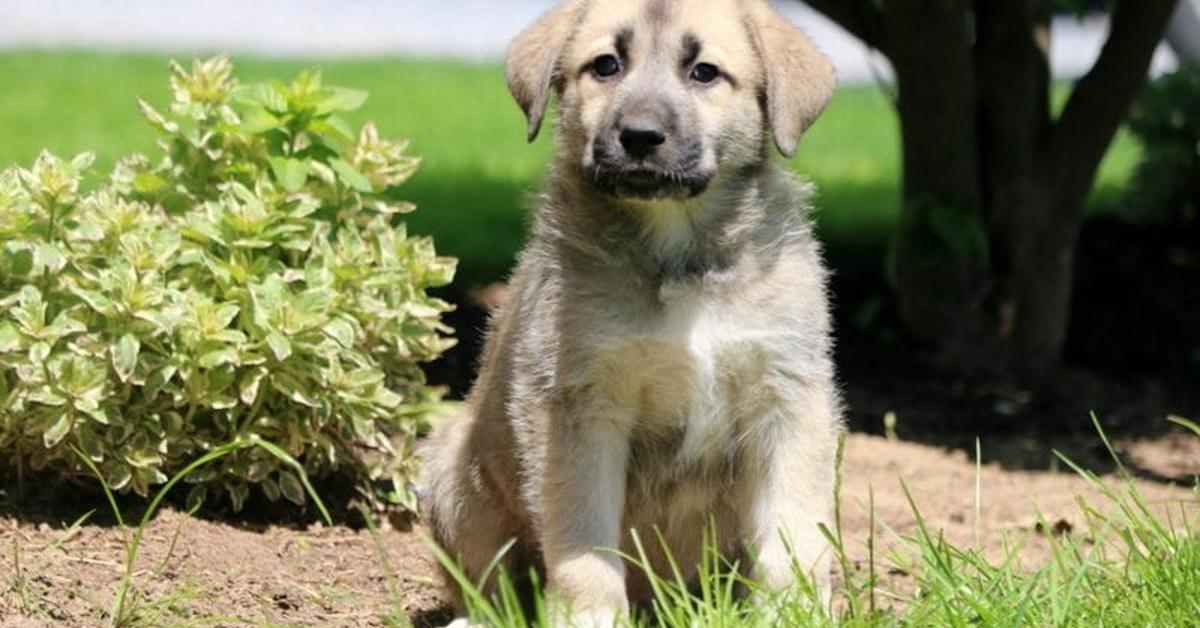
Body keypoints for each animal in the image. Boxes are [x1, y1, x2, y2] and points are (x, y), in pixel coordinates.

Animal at [427, 0, 840, 624]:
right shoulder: (579, 405)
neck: (679, 255)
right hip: (451, 477)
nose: (640, 137)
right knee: (491, 581)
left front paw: (792, 610)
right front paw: (590, 615)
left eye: (704, 72)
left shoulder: (787, 396)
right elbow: (583, 541)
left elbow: (789, 532)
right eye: (605, 65)